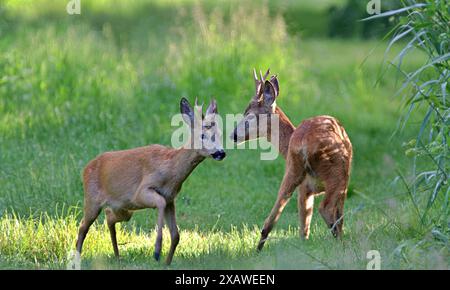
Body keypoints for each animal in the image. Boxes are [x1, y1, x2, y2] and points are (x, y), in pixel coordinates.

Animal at [76, 98, 229, 266]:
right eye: (202, 135)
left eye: (220, 134)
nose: (221, 153)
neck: (171, 170)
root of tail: (85, 168)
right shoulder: (141, 191)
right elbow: (160, 204)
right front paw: (156, 252)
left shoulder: (170, 198)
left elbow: (176, 234)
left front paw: (167, 263)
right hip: (92, 199)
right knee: (82, 226)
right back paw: (77, 257)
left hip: (123, 207)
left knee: (109, 216)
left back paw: (117, 256)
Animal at [232, 69, 352, 250]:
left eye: (249, 115)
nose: (232, 135)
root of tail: (303, 142)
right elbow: (339, 215)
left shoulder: (303, 186)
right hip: (338, 174)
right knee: (327, 209)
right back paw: (341, 244)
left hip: (293, 171)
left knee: (273, 218)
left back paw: (259, 249)